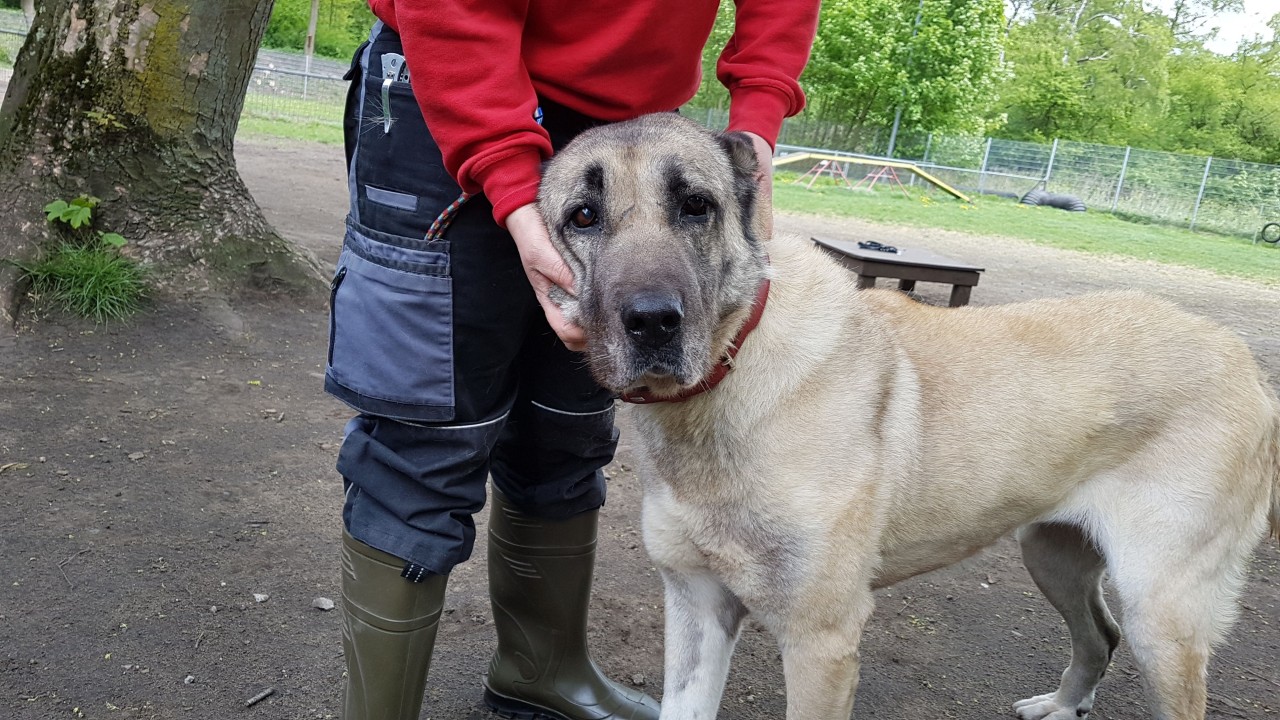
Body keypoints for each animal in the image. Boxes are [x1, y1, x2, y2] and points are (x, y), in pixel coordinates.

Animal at [537, 112, 1280, 717]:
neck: (732, 369)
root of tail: (1241, 358)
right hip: (1053, 552)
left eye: (696, 206)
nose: (653, 322)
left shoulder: (820, 638)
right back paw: (1063, 705)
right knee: (1100, 633)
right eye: (583, 216)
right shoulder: (697, 607)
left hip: (1163, 612)